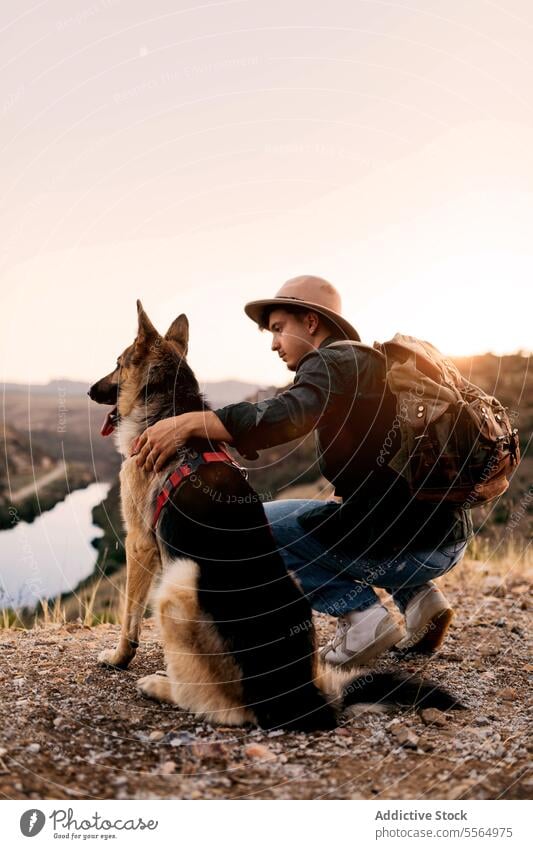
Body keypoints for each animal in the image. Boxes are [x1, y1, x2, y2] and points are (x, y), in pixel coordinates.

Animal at [89, 304, 460, 728]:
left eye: (117, 364)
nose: (89, 390)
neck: (169, 410)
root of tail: (302, 697)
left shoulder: (139, 543)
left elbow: (128, 619)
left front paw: (119, 659)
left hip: (179, 583)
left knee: (218, 705)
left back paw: (159, 685)